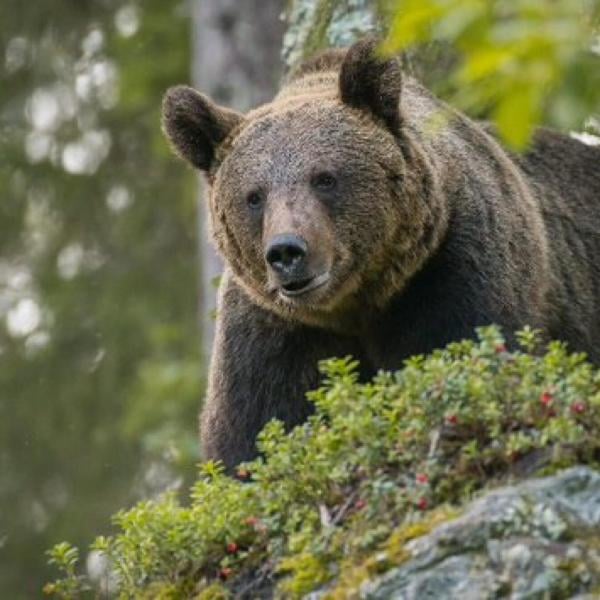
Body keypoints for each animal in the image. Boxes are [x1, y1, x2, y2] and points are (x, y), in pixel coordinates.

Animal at [159, 38, 600, 468]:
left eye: (325, 178)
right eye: (254, 196)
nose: (286, 252)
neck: (356, 305)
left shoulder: (456, 269)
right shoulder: (271, 331)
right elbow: (254, 434)